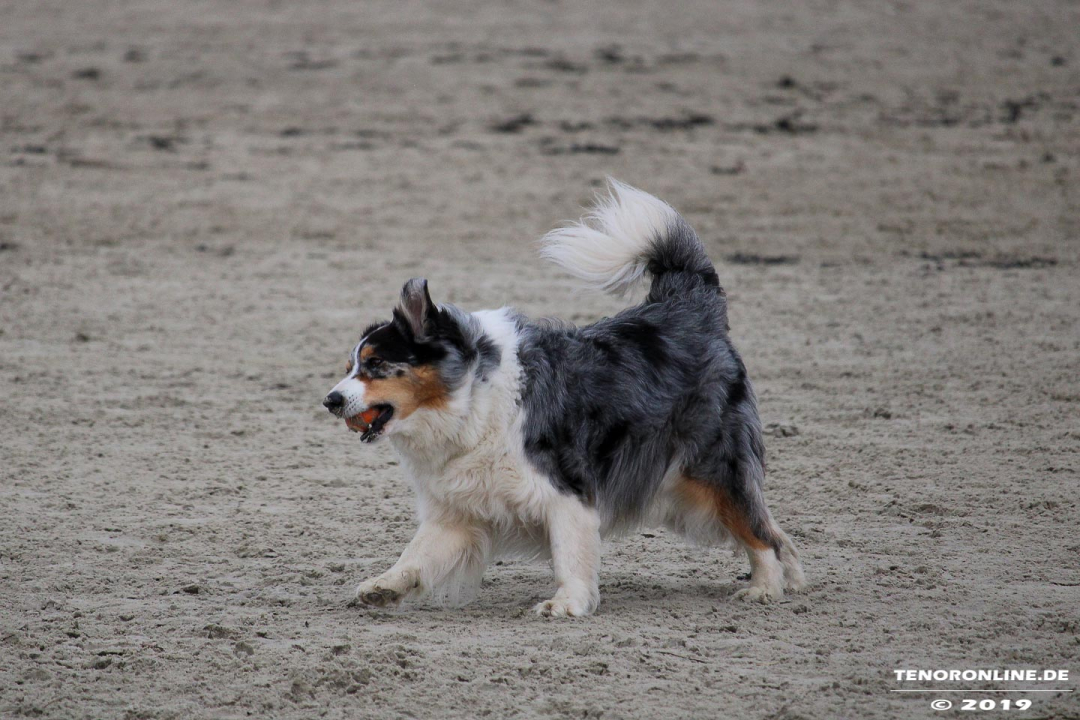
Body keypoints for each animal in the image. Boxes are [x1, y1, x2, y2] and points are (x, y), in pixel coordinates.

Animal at [323, 180, 804, 617]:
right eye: (349, 366)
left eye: (375, 364)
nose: (330, 400)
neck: (473, 400)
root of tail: (689, 307)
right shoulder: (458, 510)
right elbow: (417, 553)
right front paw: (384, 586)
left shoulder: (566, 490)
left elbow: (569, 553)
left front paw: (568, 603)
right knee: (774, 529)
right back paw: (790, 580)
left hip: (707, 471)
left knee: (758, 529)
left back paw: (765, 587)